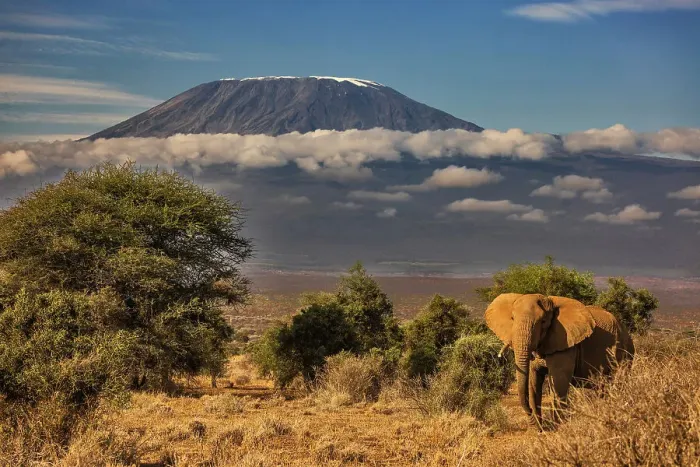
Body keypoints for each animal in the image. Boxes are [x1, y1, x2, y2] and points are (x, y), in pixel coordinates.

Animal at [484, 293, 634, 429]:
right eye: (512, 318)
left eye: (543, 322)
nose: (532, 418)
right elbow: (533, 381)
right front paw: (538, 429)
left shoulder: (566, 344)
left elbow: (559, 382)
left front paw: (558, 427)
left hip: (624, 351)